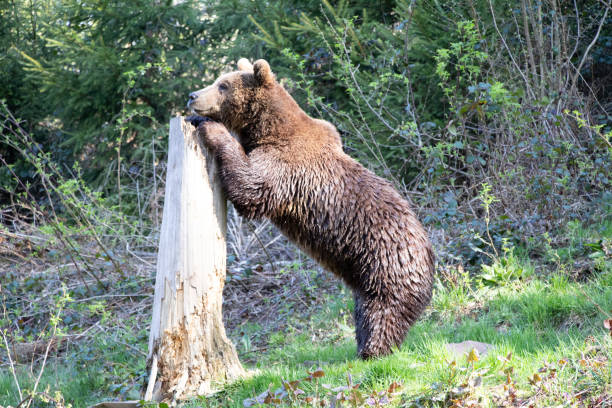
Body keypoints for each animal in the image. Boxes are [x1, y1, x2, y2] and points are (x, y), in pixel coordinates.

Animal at [186, 59, 436, 358]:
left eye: (222, 85)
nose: (192, 96)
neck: (267, 129)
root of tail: (429, 260)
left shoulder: (284, 165)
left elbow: (251, 187)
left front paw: (207, 125)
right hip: (365, 280)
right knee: (364, 312)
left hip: (386, 267)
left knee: (382, 314)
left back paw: (371, 351)